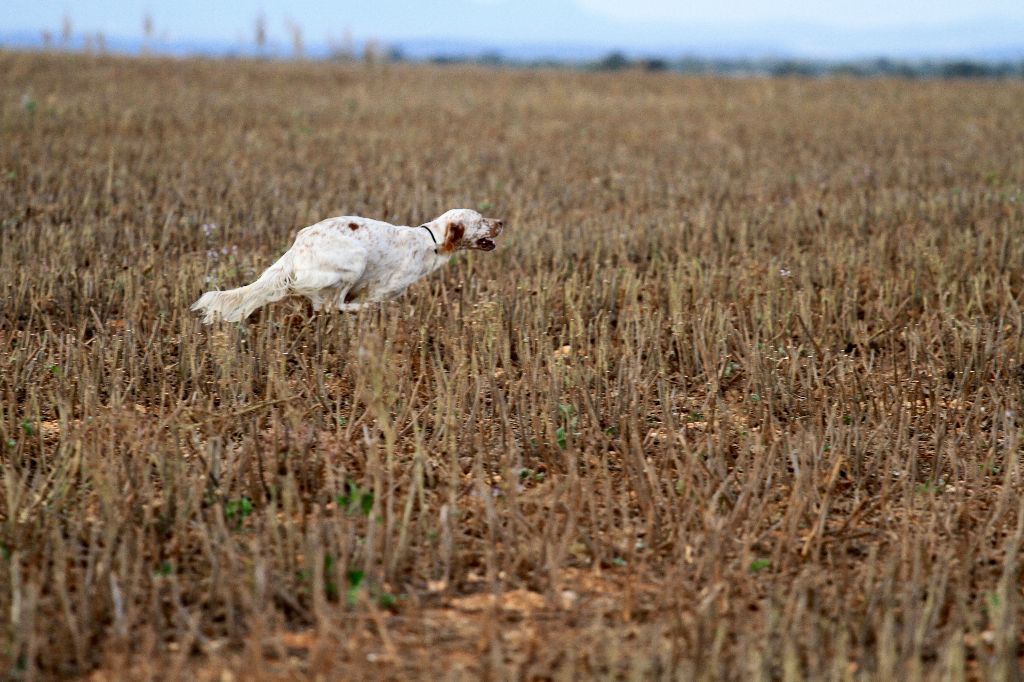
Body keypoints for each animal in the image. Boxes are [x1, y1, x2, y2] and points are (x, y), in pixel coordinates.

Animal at [191, 208, 503, 323]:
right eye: (480, 220)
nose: (501, 222)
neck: (430, 240)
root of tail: (296, 247)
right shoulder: (381, 289)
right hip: (355, 259)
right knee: (332, 303)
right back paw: (356, 308)